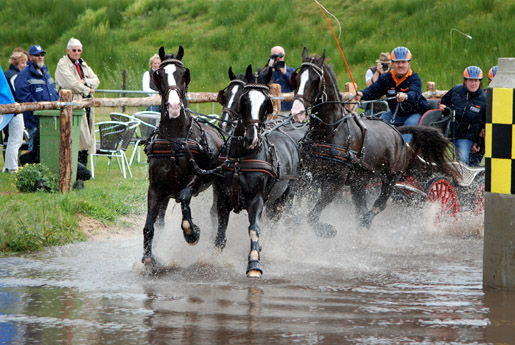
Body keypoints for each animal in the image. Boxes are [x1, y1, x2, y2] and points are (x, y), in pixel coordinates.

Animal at [142, 46, 223, 272]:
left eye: (182, 74)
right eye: (159, 75)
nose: (174, 106)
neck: (174, 139)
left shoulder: (196, 179)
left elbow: (185, 198)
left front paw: (192, 232)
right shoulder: (155, 188)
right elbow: (150, 226)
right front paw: (149, 257)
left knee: (216, 213)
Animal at [214, 65, 302, 276]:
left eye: (266, 103)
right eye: (244, 100)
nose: (251, 137)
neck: (240, 158)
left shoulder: (257, 200)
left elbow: (254, 229)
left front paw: (254, 263)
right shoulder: (222, 199)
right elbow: (220, 233)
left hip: (285, 198)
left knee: (275, 223)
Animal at [290, 47, 460, 235]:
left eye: (315, 80)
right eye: (297, 78)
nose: (296, 112)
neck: (329, 132)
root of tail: (398, 133)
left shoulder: (335, 181)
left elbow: (312, 215)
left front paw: (327, 230)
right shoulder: (306, 178)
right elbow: (298, 213)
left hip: (391, 178)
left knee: (380, 204)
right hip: (359, 181)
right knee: (362, 207)